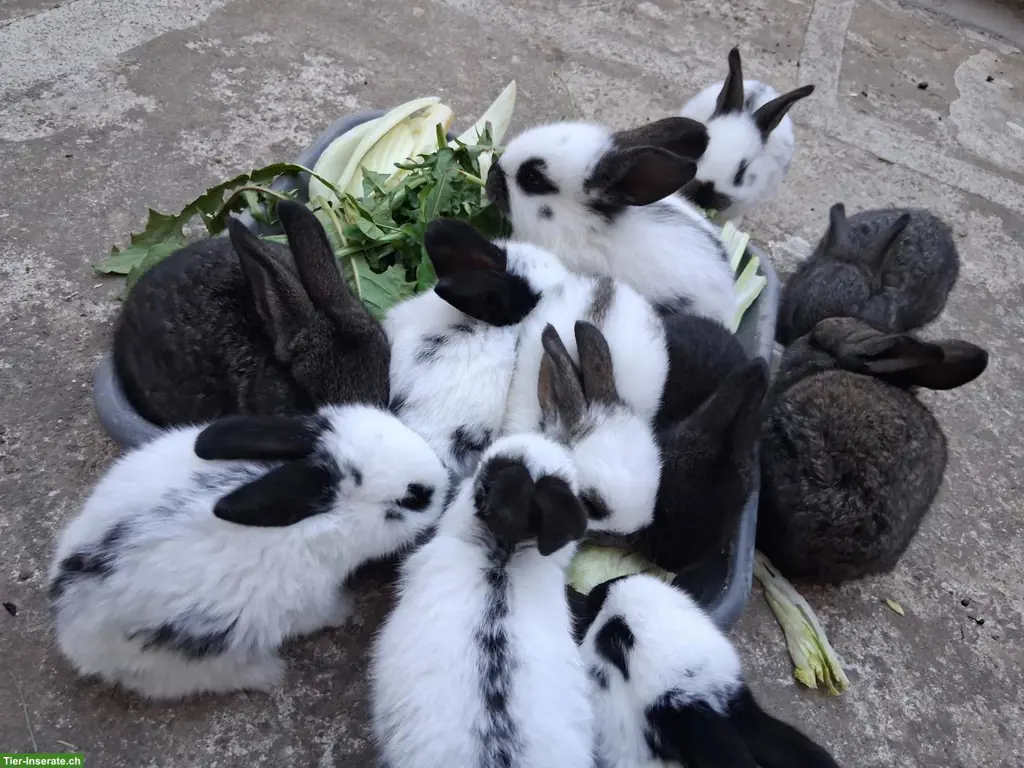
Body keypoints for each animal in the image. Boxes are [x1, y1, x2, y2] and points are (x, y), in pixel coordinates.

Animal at [48, 403, 447, 700]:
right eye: (411, 497)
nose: (445, 479)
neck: (328, 522)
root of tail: (70, 630)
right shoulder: (308, 598)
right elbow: (324, 612)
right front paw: (345, 611)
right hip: (190, 658)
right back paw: (269, 674)